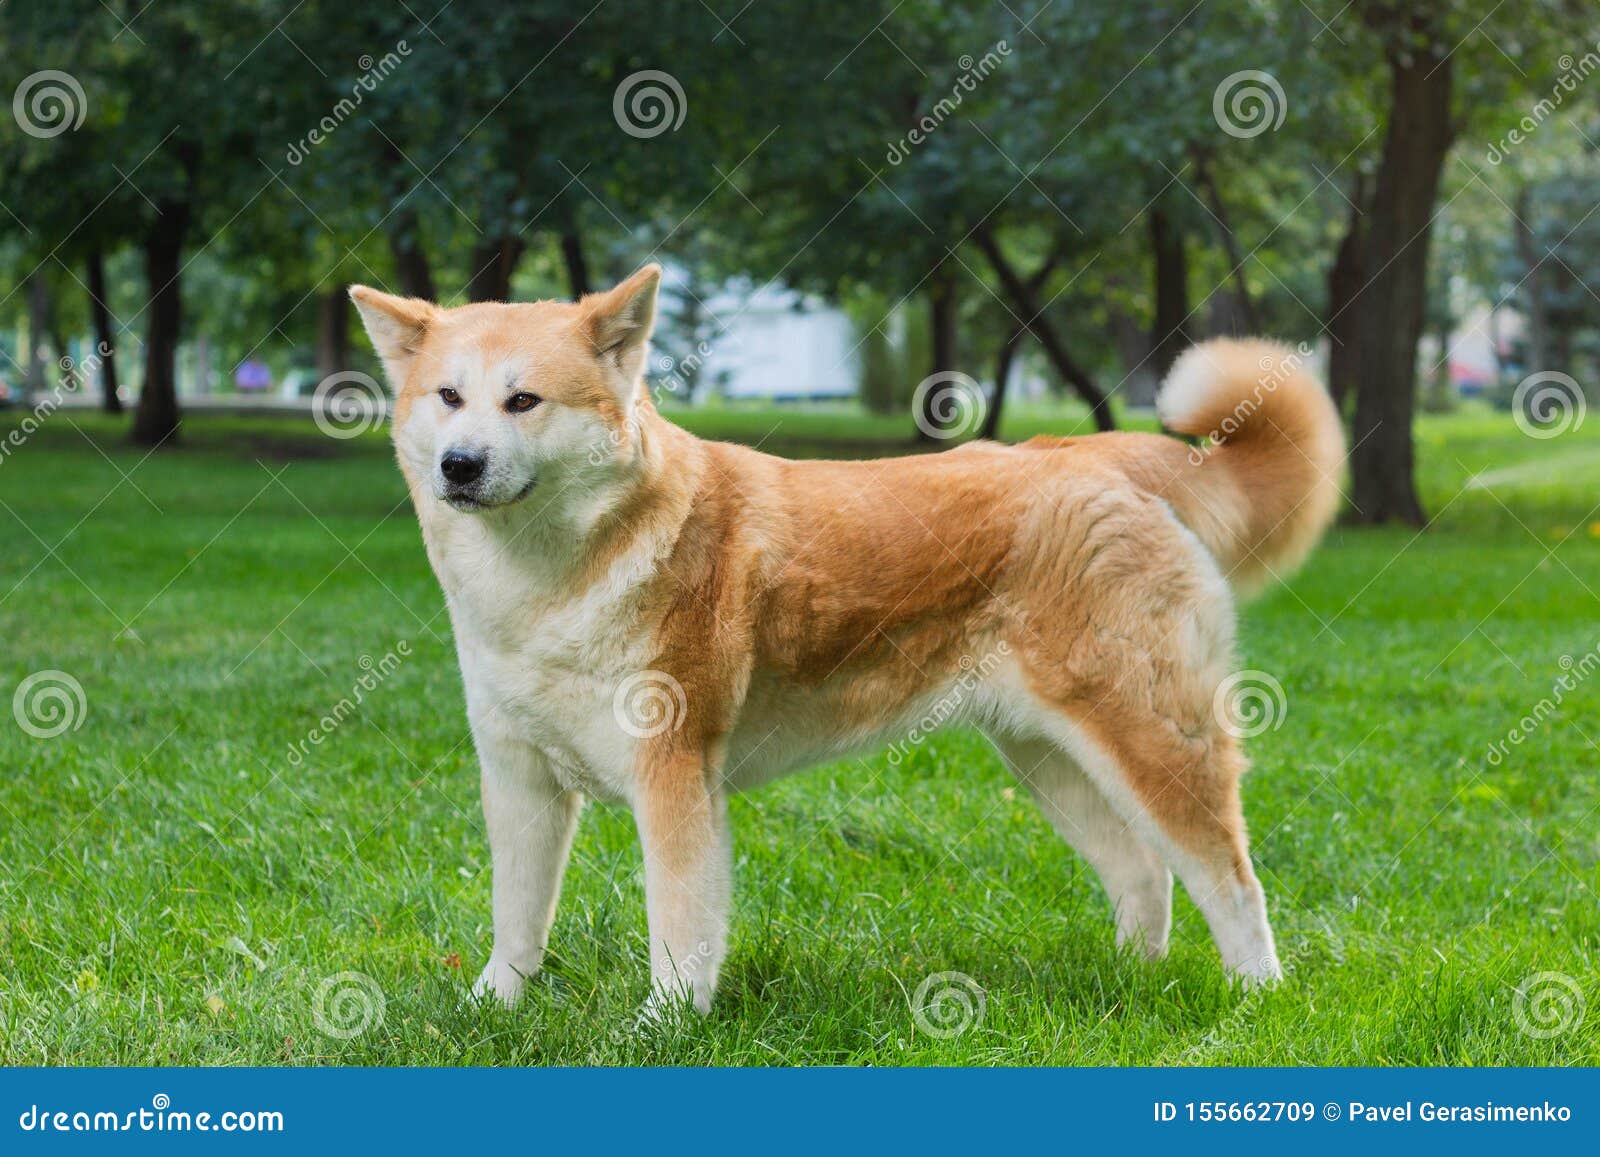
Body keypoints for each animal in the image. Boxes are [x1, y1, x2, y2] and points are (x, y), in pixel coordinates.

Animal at [353, 268, 1350, 1011]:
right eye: (449, 397)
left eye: (523, 401)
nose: (460, 464)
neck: (547, 582)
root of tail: (1097, 451)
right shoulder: (518, 778)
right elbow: (516, 920)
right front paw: (492, 1007)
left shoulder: (671, 773)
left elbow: (678, 927)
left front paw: (663, 1025)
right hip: (1047, 755)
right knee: (1144, 873)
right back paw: (1128, 982)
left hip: (1147, 738)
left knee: (1229, 879)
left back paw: (1256, 997)